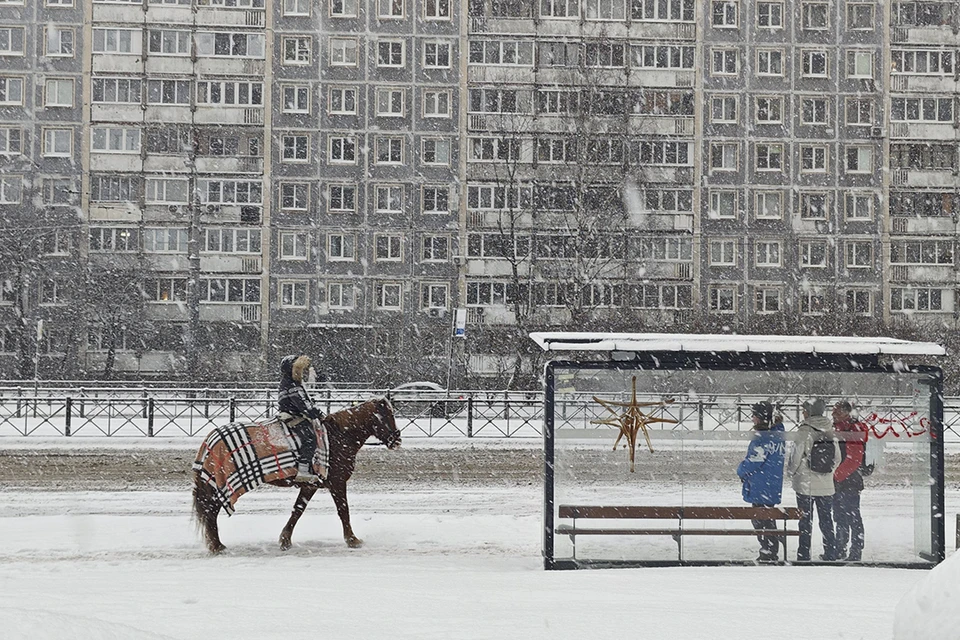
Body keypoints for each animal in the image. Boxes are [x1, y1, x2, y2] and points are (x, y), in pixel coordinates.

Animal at [191, 398, 402, 552]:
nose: (396, 439)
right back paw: (217, 546)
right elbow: (344, 511)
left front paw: (285, 540)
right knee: (211, 511)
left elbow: (297, 510)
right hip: (219, 487)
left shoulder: (310, 485)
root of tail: (210, 439)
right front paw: (352, 540)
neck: (337, 436)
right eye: (387, 415)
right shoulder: (337, 482)